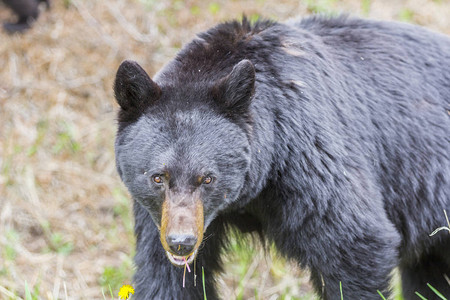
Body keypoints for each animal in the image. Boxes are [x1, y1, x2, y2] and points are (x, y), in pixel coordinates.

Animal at [113, 16, 450, 300]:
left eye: (208, 178)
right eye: (158, 177)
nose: (180, 241)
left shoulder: (310, 160)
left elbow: (355, 244)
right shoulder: (157, 216)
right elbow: (165, 276)